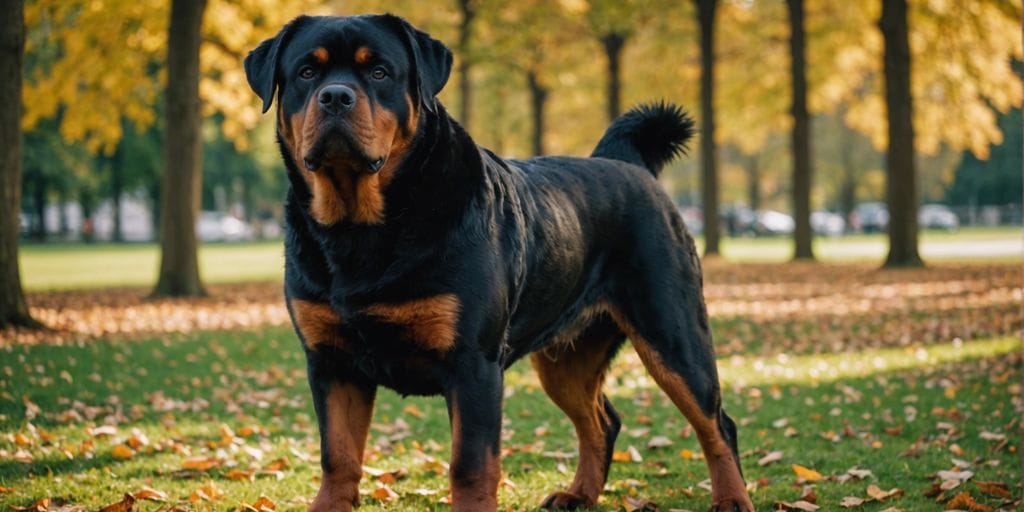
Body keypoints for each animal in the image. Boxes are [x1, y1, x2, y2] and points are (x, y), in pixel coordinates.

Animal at [242, 12, 749, 512]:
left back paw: (731, 498)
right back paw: (578, 494)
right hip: (565, 359)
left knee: (715, 423)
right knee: (601, 421)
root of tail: (629, 164)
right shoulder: (331, 363)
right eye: (307, 72)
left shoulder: (474, 364)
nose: (335, 96)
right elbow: (338, 456)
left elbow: (469, 465)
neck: (359, 229)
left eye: (380, 72)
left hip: (672, 332)